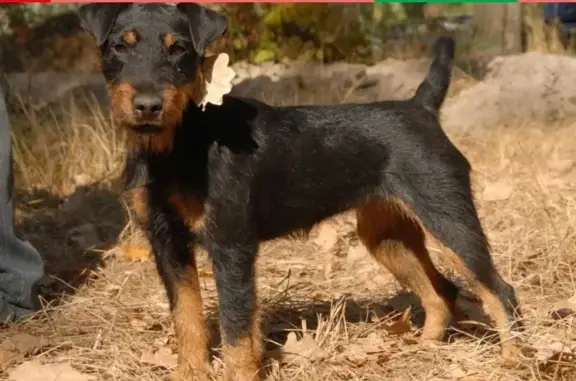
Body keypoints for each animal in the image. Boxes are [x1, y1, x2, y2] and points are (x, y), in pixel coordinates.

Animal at [79, 2, 524, 380]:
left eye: (179, 50)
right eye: (121, 46)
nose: (148, 106)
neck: (178, 142)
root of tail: (421, 107)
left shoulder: (231, 246)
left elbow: (237, 331)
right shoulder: (168, 244)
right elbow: (187, 319)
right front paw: (190, 372)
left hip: (449, 220)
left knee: (499, 290)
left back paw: (514, 360)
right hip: (386, 236)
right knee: (441, 292)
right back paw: (425, 348)